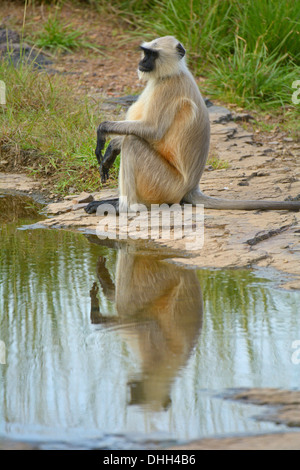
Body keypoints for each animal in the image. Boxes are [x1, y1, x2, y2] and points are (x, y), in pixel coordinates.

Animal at [84, 35, 300, 215]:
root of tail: (191, 187)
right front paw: (112, 147)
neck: (171, 74)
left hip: (166, 186)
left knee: (133, 142)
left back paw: (123, 207)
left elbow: (152, 131)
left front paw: (104, 132)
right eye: (145, 53)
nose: (142, 62)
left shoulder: (169, 88)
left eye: (152, 55)